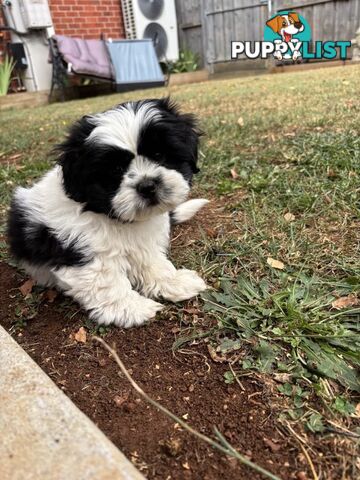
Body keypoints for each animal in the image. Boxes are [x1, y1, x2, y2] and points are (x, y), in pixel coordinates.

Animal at [7, 99, 208, 328]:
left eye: (159, 155)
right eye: (116, 169)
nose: (147, 186)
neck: (110, 215)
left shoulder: (143, 243)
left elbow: (152, 262)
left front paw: (173, 281)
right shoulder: (84, 252)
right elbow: (107, 283)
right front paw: (132, 308)